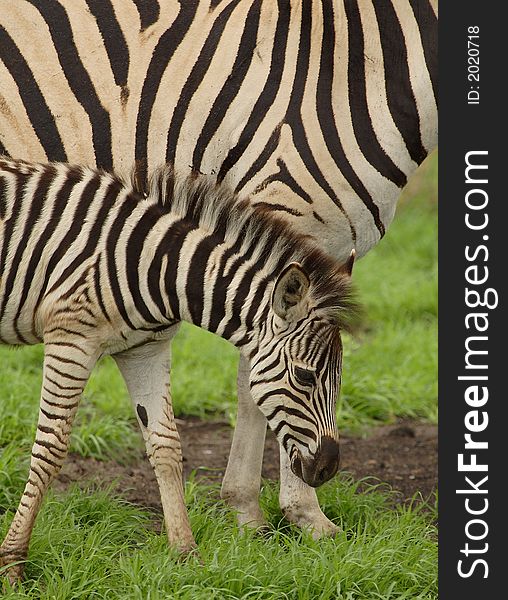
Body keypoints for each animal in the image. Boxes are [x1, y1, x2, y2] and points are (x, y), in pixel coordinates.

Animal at [0, 157, 358, 584]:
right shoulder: (71, 337)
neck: (150, 261)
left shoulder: (144, 349)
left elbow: (167, 446)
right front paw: (13, 564)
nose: (328, 469)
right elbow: (50, 449)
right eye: (305, 376)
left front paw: (186, 554)